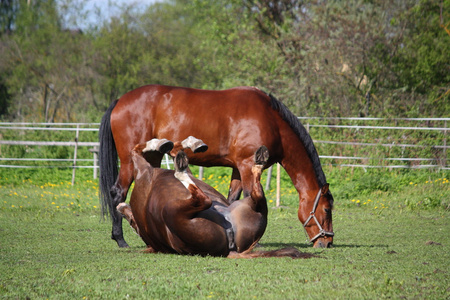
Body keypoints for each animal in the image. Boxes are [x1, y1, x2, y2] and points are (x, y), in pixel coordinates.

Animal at [118, 138, 312, 258]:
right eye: (131, 222)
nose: (121, 207)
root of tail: (231, 249)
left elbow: (169, 148)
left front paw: (186, 143)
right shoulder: (141, 169)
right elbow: (135, 149)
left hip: (248, 206)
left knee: (255, 193)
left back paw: (259, 158)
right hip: (171, 211)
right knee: (204, 200)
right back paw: (180, 170)